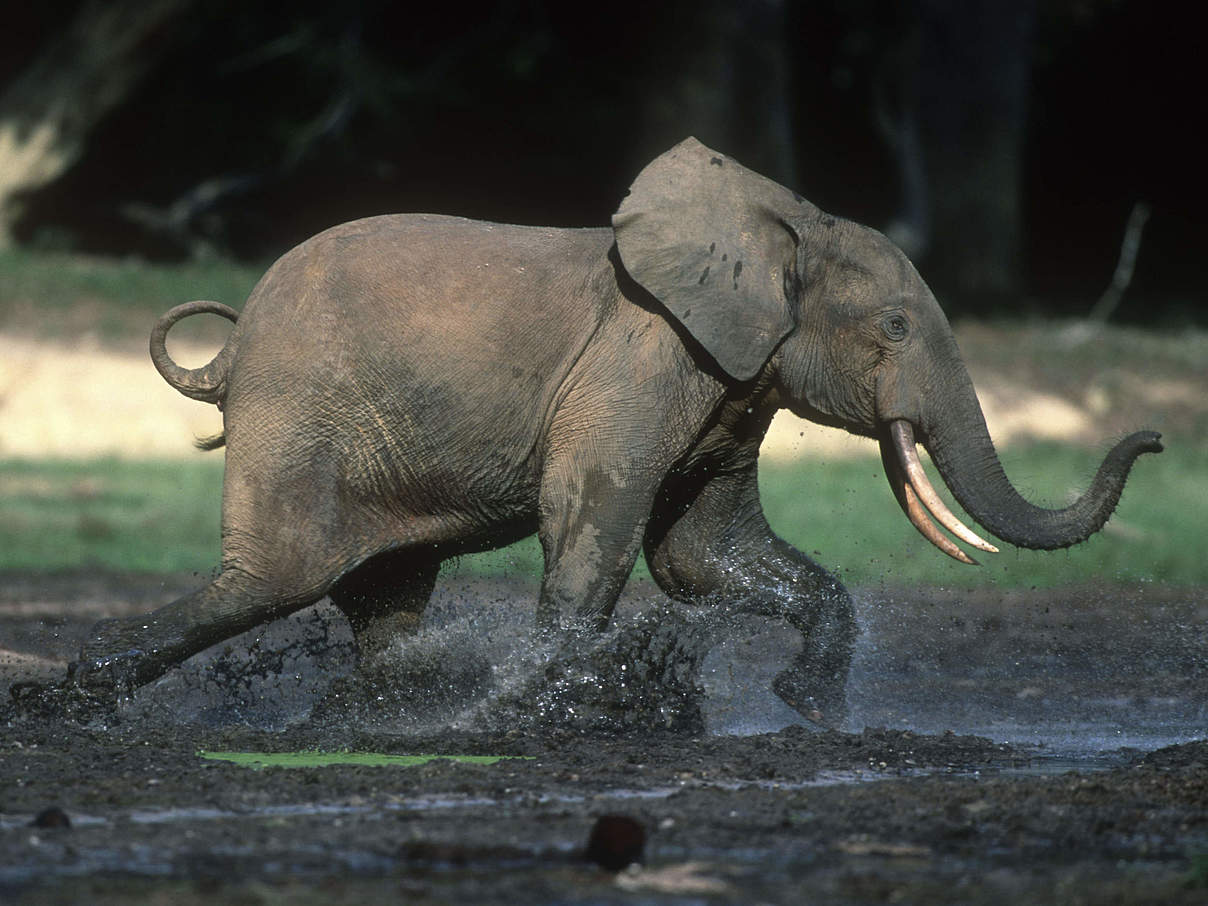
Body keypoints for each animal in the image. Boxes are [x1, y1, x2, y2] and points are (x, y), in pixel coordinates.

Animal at [68, 140, 1159, 724]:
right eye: (893, 328)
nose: (1149, 438)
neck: (781, 225)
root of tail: (228, 352)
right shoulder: (639, 360)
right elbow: (596, 516)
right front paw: (541, 710)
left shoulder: (732, 385)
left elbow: (703, 553)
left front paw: (807, 708)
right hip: (299, 414)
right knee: (277, 576)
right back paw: (81, 697)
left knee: (383, 592)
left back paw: (377, 705)